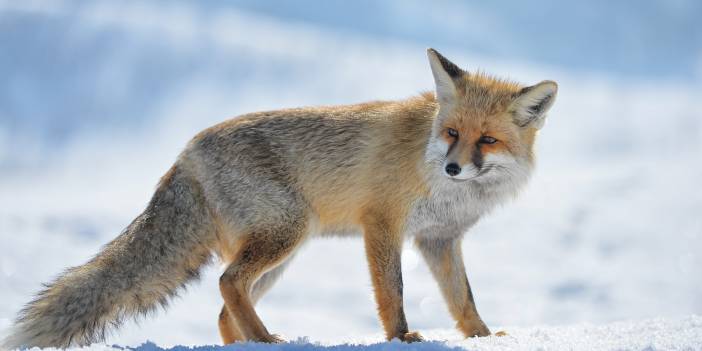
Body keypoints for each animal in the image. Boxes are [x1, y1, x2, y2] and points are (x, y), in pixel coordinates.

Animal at [1, 48, 560, 350]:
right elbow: (393, 294)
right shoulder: (382, 223)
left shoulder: (439, 240)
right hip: (286, 234)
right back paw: (267, 339)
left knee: (224, 309)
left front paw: (484, 337)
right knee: (227, 285)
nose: (452, 167)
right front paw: (401, 339)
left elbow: (463, 299)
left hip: (280, 255)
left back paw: (251, 342)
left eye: (486, 141)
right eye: (451, 133)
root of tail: (186, 152)